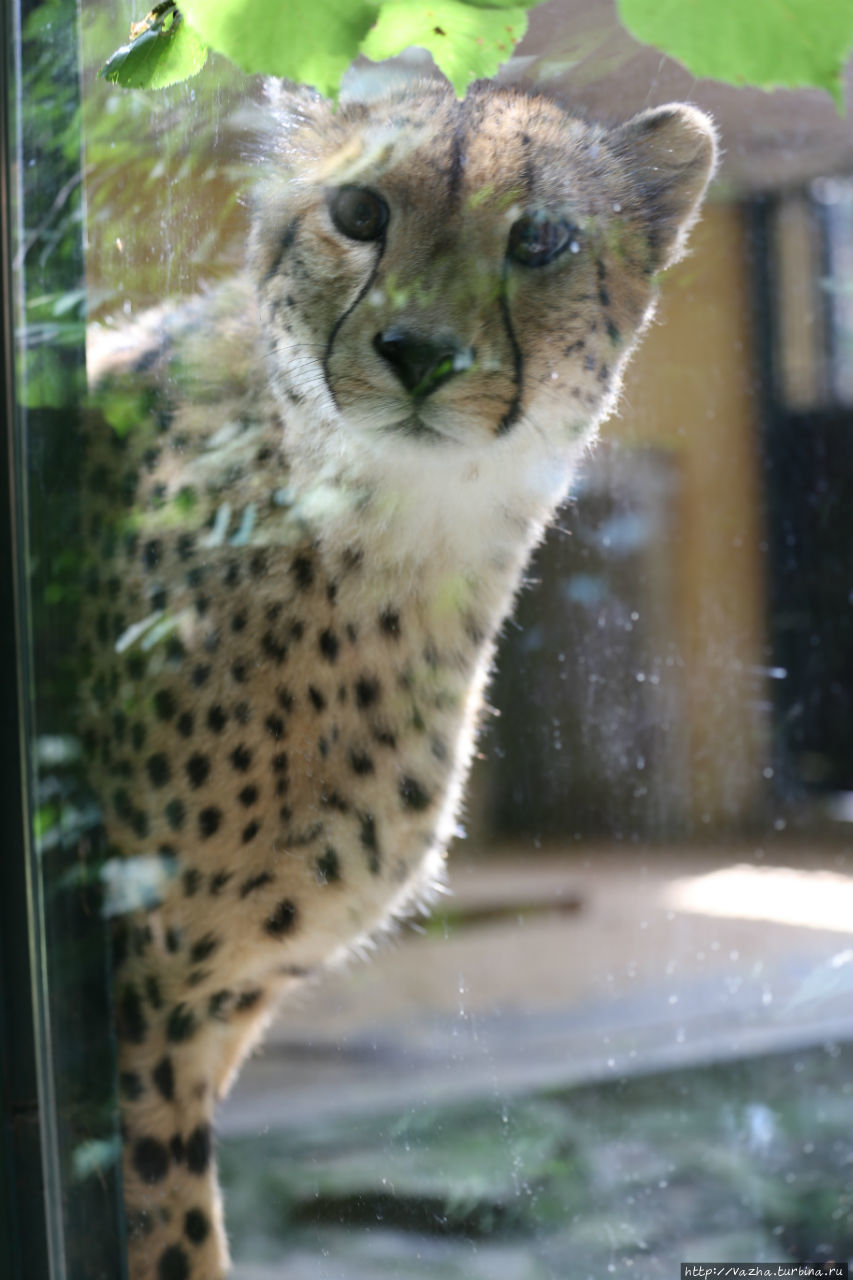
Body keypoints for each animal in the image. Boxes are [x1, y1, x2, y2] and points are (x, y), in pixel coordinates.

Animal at [81, 80, 717, 1280]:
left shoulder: (205, 997)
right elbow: (168, 1222)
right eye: (360, 211)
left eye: (540, 238)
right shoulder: (147, 993)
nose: (418, 350)